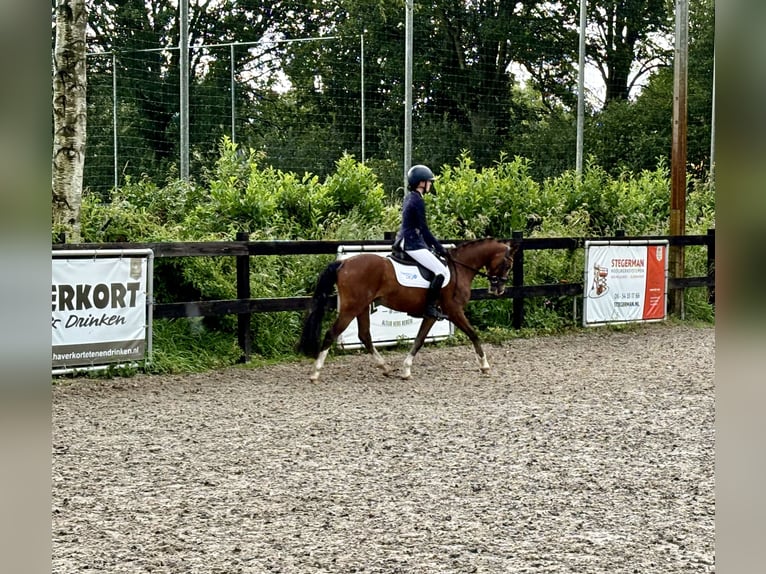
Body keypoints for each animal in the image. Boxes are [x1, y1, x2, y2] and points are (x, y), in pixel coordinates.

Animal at [296, 238, 520, 382]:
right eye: (508, 264)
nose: (498, 289)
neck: (459, 268)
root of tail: (343, 263)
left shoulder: (432, 314)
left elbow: (419, 339)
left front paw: (406, 369)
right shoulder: (454, 310)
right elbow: (474, 334)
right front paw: (485, 366)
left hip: (362, 307)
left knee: (365, 335)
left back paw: (385, 367)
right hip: (352, 307)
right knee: (332, 333)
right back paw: (315, 373)